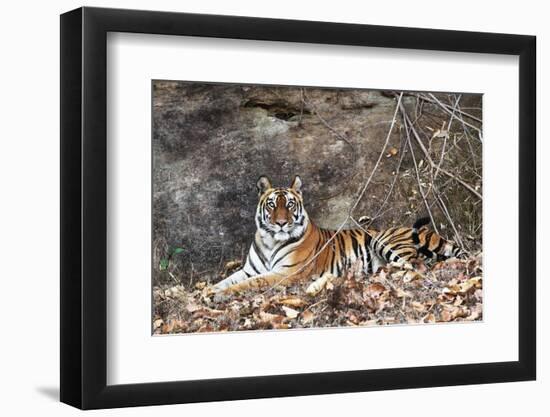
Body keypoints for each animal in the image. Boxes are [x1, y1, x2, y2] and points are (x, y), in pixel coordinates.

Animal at [213, 176, 464, 292]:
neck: (270, 241)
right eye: (272, 205)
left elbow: (252, 283)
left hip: (385, 242)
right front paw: (212, 289)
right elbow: (227, 279)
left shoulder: (287, 273)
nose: (282, 223)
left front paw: (223, 294)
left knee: (416, 265)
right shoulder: (248, 269)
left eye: (291, 205)